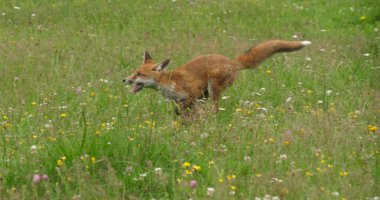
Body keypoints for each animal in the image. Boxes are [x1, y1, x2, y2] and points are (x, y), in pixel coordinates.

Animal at [123, 39, 310, 113]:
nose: (125, 79)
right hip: (207, 93)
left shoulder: (192, 94)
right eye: (134, 71)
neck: (169, 82)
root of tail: (232, 62)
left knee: (215, 109)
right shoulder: (188, 100)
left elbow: (181, 110)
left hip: (213, 89)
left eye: (139, 74)